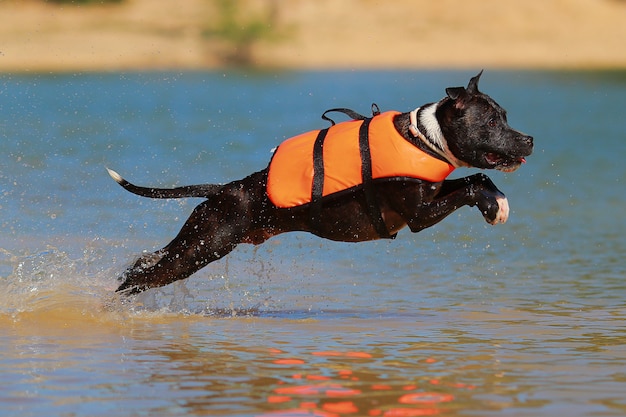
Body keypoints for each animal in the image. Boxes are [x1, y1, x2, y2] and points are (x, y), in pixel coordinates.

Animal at [107, 70, 532, 292]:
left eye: (506, 116)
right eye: (491, 121)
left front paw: (496, 203)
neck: (425, 137)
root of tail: (223, 191)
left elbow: (476, 176)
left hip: (198, 243)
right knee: (145, 273)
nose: (529, 139)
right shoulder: (419, 215)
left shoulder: (434, 193)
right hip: (203, 246)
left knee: (147, 261)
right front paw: (492, 202)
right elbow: (470, 183)